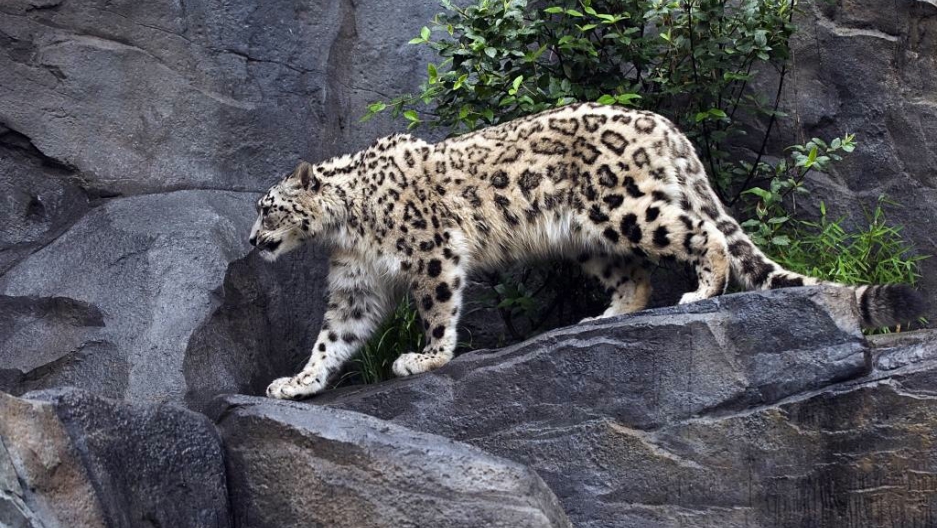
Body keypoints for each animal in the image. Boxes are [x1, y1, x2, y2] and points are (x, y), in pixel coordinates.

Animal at [250, 102, 926, 400]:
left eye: (267, 208)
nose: (254, 242)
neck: (346, 228)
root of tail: (664, 124)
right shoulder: (356, 284)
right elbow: (333, 336)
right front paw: (299, 381)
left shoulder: (431, 253)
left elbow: (438, 308)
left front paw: (426, 358)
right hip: (587, 238)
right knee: (635, 278)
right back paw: (603, 316)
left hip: (624, 207)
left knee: (700, 234)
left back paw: (702, 291)